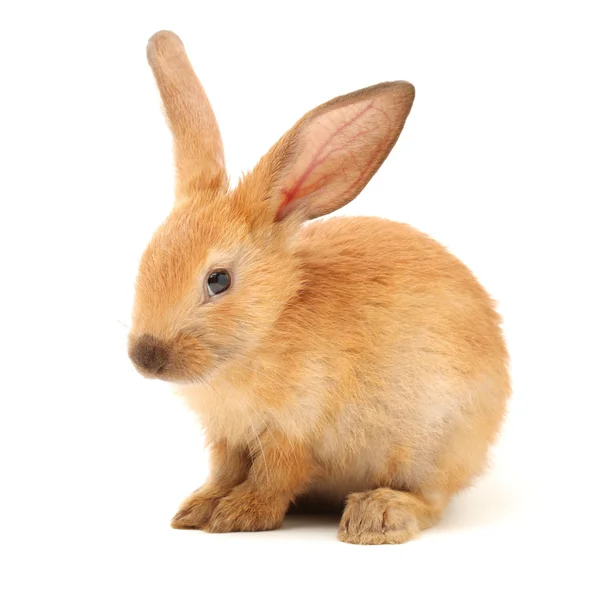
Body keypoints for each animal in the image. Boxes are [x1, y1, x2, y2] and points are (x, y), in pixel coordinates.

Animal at [127, 29, 510, 544]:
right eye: (146, 259)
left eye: (218, 280)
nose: (145, 355)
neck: (268, 329)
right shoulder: (227, 438)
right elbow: (224, 472)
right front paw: (196, 510)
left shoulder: (294, 432)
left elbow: (273, 477)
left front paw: (238, 515)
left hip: (431, 447)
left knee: (430, 502)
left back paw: (376, 515)